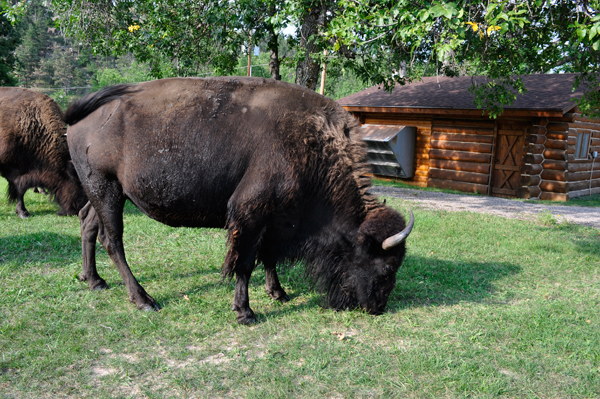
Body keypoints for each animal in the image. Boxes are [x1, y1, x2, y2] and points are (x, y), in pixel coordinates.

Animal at [64, 78, 412, 324]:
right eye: (386, 267)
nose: (377, 307)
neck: (312, 145)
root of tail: (81, 117)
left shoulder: (275, 222)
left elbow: (269, 258)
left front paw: (279, 293)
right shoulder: (250, 216)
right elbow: (244, 263)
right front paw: (245, 312)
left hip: (105, 193)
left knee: (88, 223)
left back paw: (93, 280)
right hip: (107, 189)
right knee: (113, 240)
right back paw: (144, 300)